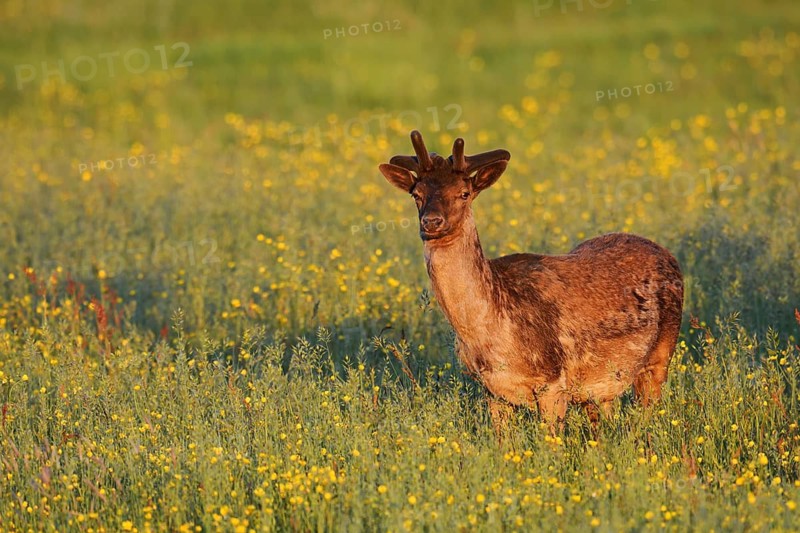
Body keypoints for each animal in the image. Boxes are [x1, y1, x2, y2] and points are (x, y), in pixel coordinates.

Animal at [378, 130, 684, 433]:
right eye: (416, 194)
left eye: (464, 193)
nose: (432, 222)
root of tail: (668, 254)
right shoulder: (492, 390)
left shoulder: (553, 382)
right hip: (599, 388)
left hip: (661, 353)